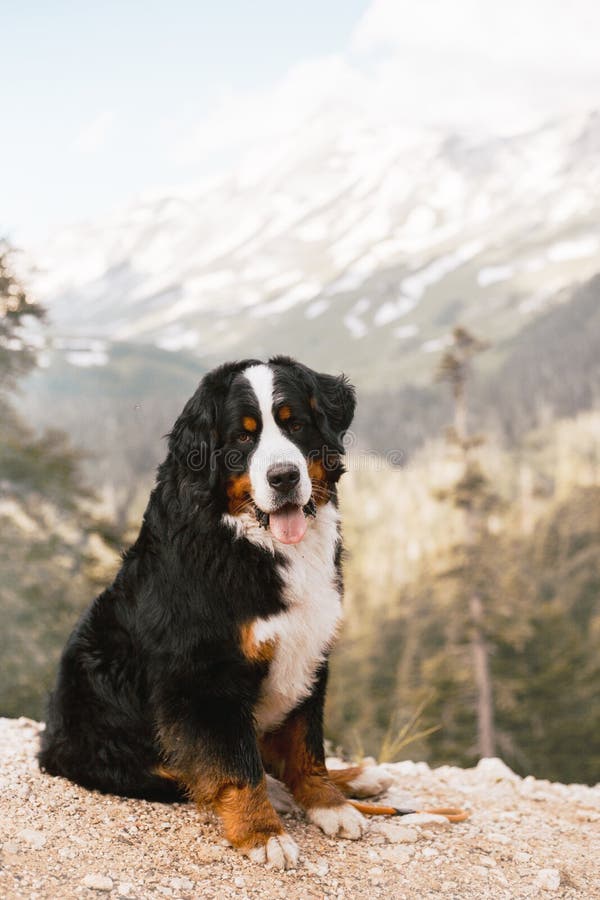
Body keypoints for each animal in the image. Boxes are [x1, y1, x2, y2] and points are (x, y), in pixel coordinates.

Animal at [37, 356, 390, 868]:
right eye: (243, 437)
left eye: (295, 424)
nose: (284, 476)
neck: (253, 542)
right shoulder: (205, 675)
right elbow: (236, 763)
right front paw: (263, 833)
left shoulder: (310, 652)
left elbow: (306, 747)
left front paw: (329, 803)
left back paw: (358, 778)